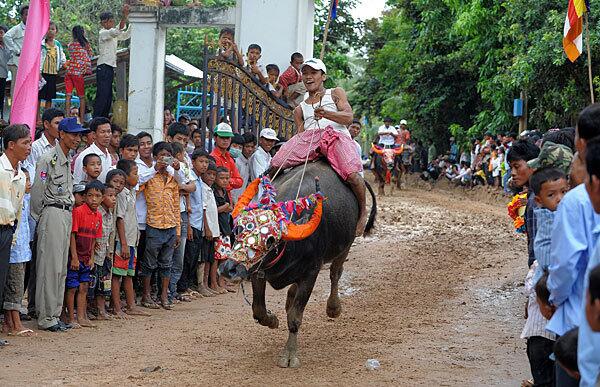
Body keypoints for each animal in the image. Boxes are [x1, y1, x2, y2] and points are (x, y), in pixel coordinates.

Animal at [220, 161, 376, 370]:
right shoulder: (257, 271)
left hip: (346, 245)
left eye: (270, 240)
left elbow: (295, 317)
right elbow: (258, 309)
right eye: (238, 229)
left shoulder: (310, 274)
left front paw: (289, 354)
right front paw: (272, 320)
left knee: (336, 273)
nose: (229, 268)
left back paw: (333, 307)